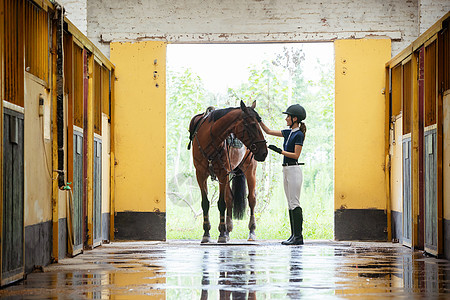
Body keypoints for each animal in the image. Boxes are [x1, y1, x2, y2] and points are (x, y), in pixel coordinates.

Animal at [187, 99, 268, 243]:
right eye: (253, 125)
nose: (264, 152)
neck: (209, 139)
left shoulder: (222, 174)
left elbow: (221, 203)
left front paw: (221, 234)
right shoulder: (200, 175)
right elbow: (206, 203)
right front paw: (207, 233)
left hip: (250, 170)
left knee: (252, 199)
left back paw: (251, 231)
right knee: (230, 198)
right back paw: (227, 230)